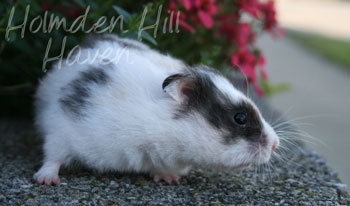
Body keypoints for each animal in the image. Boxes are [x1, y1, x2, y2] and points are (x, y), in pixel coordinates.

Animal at [32, 33, 278, 185]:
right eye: (240, 118)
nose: (276, 144)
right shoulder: (62, 126)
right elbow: (53, 155)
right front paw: (46, 181)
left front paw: (169, 179)